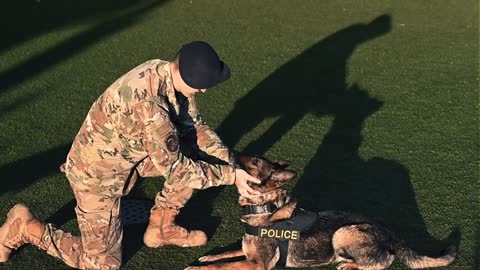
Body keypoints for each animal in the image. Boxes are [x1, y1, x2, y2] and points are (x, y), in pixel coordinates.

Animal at [185, 155, 458, 268]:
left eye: (253, 162)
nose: (230, 154)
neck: (267, 209)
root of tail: (390, 232)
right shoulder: (247, 254)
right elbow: (227, 254)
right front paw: (207, 257)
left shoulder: (257, 265)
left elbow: (222, 267)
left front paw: (197, 268)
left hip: (343, 233)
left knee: (382, 262)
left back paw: (348, 266)